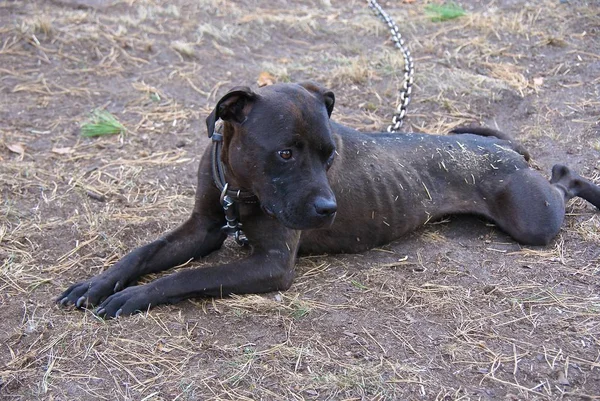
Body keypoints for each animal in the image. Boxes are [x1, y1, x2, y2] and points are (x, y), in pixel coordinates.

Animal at [57, 83, 600, 318]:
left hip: (533, 217)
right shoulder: (202, 228)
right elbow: (142, 253)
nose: (327, 210)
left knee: (563, 177)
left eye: (329, 153)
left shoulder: (271, 264)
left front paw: (133, 297)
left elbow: (188, 277)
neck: (241, 187)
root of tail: (504, 152)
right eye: (285, 153)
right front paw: (98, 284)